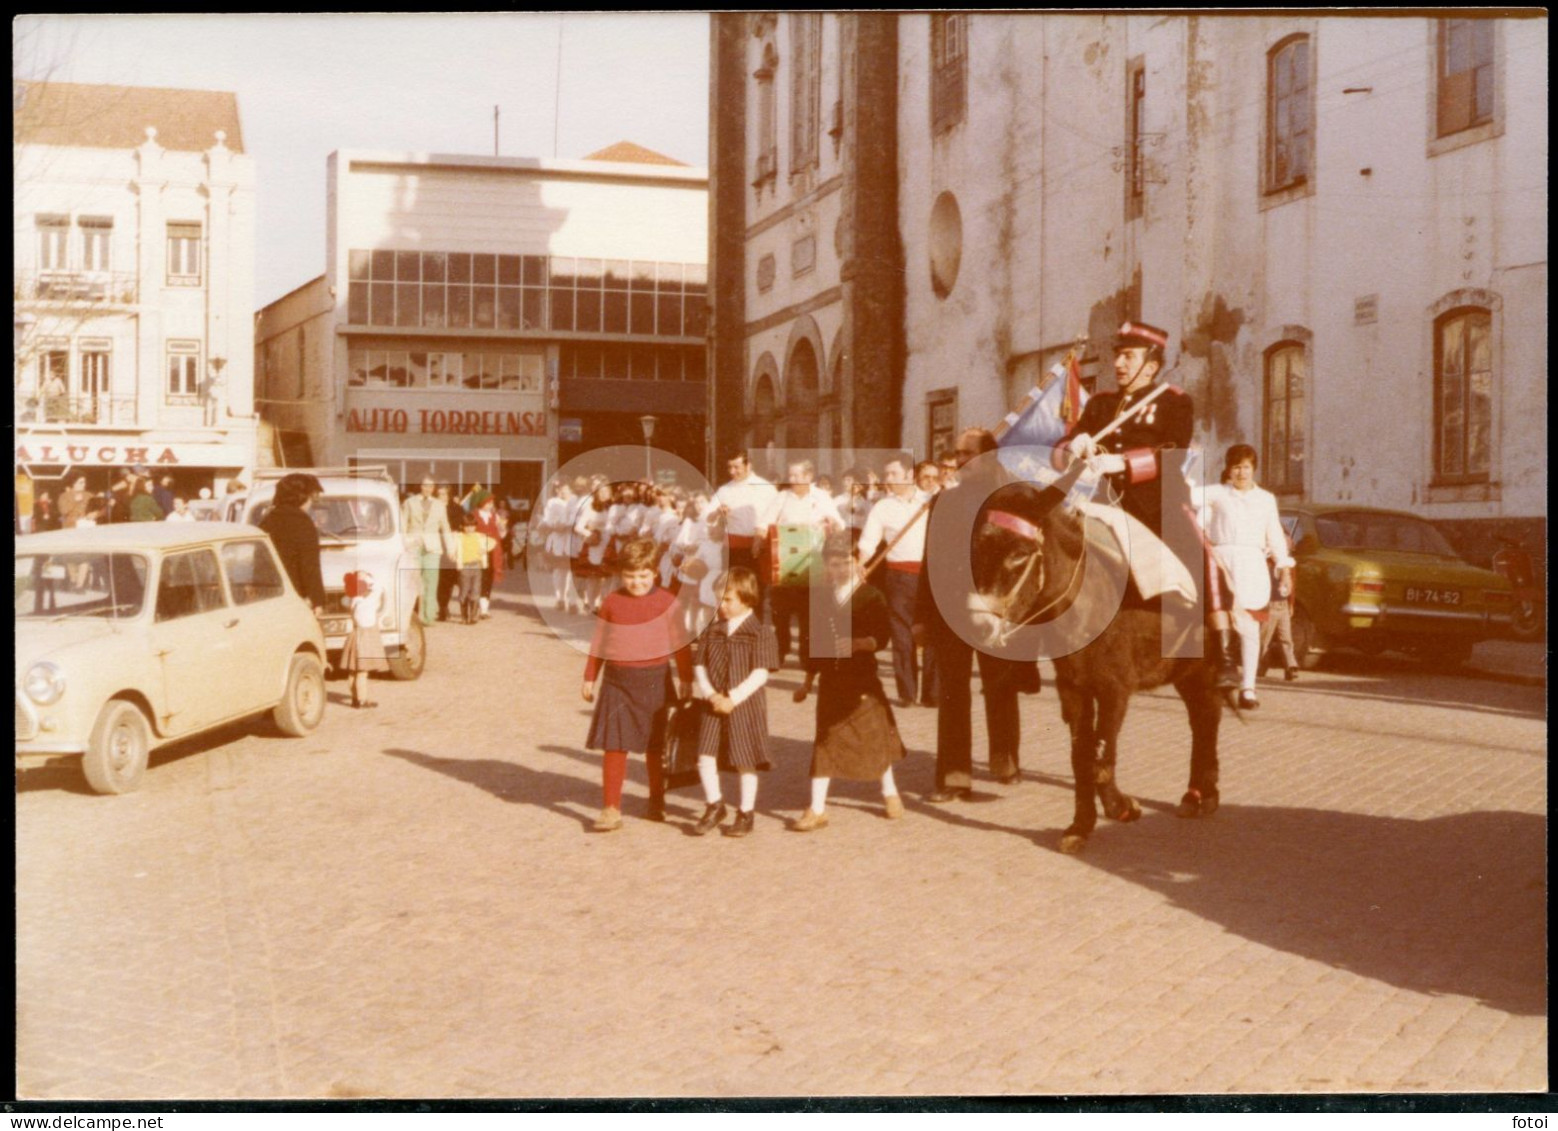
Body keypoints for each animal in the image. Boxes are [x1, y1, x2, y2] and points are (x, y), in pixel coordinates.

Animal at [965, 473, 1221, 853]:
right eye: (978, 549)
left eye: (1019, 554)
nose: (979, 625)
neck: (1087, 603)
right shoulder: (1074, 691)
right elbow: (1081, 759)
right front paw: (1081, 825)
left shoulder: (1115, 691)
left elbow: (1100, 760)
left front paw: (1120, 807)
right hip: (1184, 673)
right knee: (1200, 719)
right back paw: (1195, 795)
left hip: (1204, 669)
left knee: (1209, 718)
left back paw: (1207, 794)